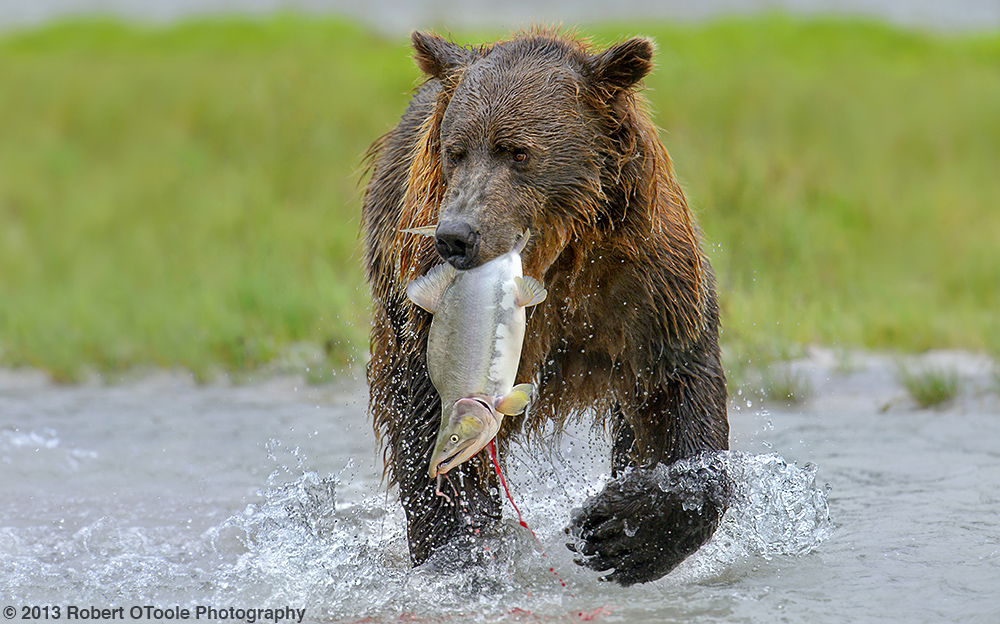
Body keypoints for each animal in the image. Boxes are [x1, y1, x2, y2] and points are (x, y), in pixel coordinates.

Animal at [364, 28, 732, 584]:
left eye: (517, 152)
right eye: (456, 151)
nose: (456, 235)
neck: (559, 254)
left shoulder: (647, 285)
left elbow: (679, 393)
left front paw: (618, 534)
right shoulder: (425, 306)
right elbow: (424, 413)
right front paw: (460, 552)